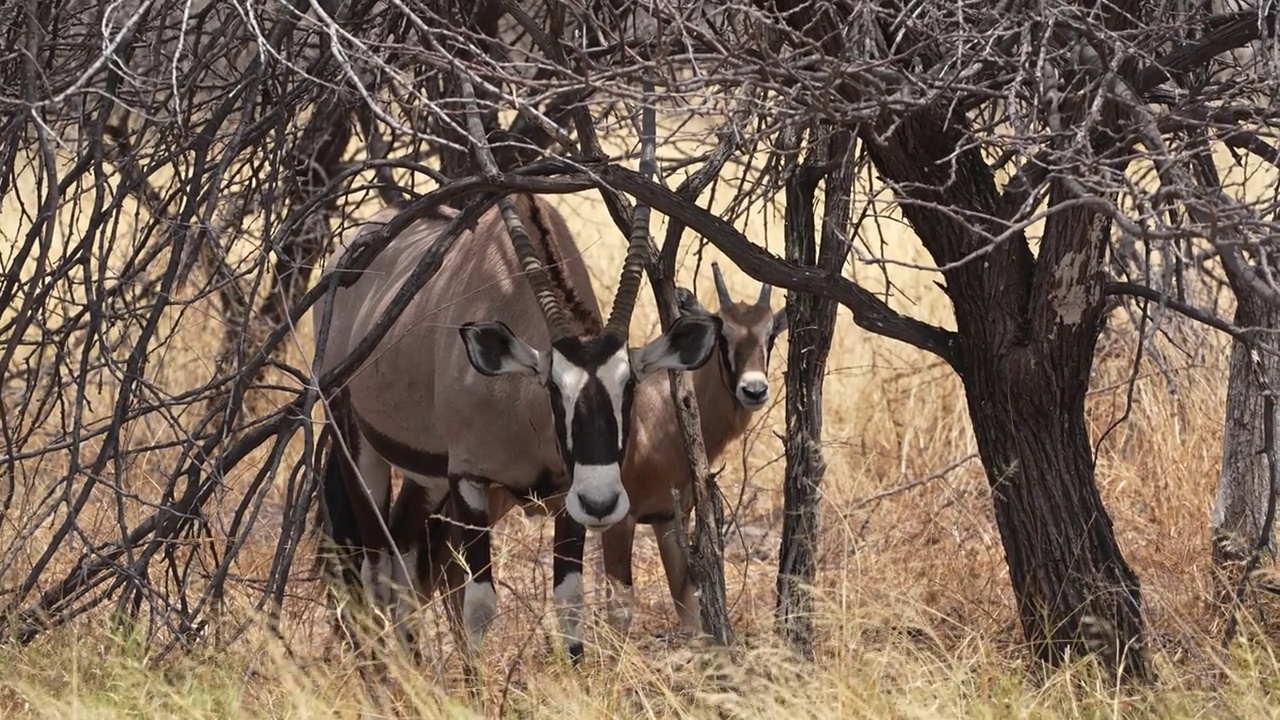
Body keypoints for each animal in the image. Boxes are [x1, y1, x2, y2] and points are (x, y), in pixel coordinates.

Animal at [311, 190, 721, 661]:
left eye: (629, 385)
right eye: (554, 388)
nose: (601, 503)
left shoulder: (565, 493)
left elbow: (570, 599)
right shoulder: (469, 478)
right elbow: (478, 604)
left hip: (427, 476)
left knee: (405, 558)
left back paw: (415, 665)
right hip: (357, 442)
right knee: (375, 566)